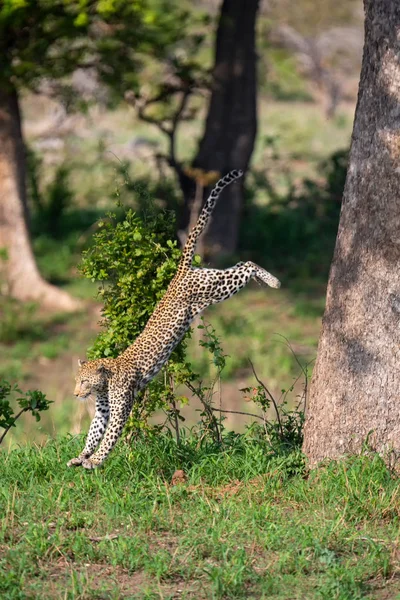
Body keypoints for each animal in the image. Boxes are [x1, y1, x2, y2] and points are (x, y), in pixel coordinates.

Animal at [69, 169, 280, 468]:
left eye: (84, 382)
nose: (76, 394)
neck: (106, 382)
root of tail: (179, 273)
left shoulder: (119, 409)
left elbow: (109, 437)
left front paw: (96, 460)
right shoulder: (102, 410)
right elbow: (94, 432)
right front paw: (81, 456)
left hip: (216, 288)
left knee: (246, 265)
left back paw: (272, 281)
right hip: (212, 280)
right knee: (240, 264)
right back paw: (265, 281)